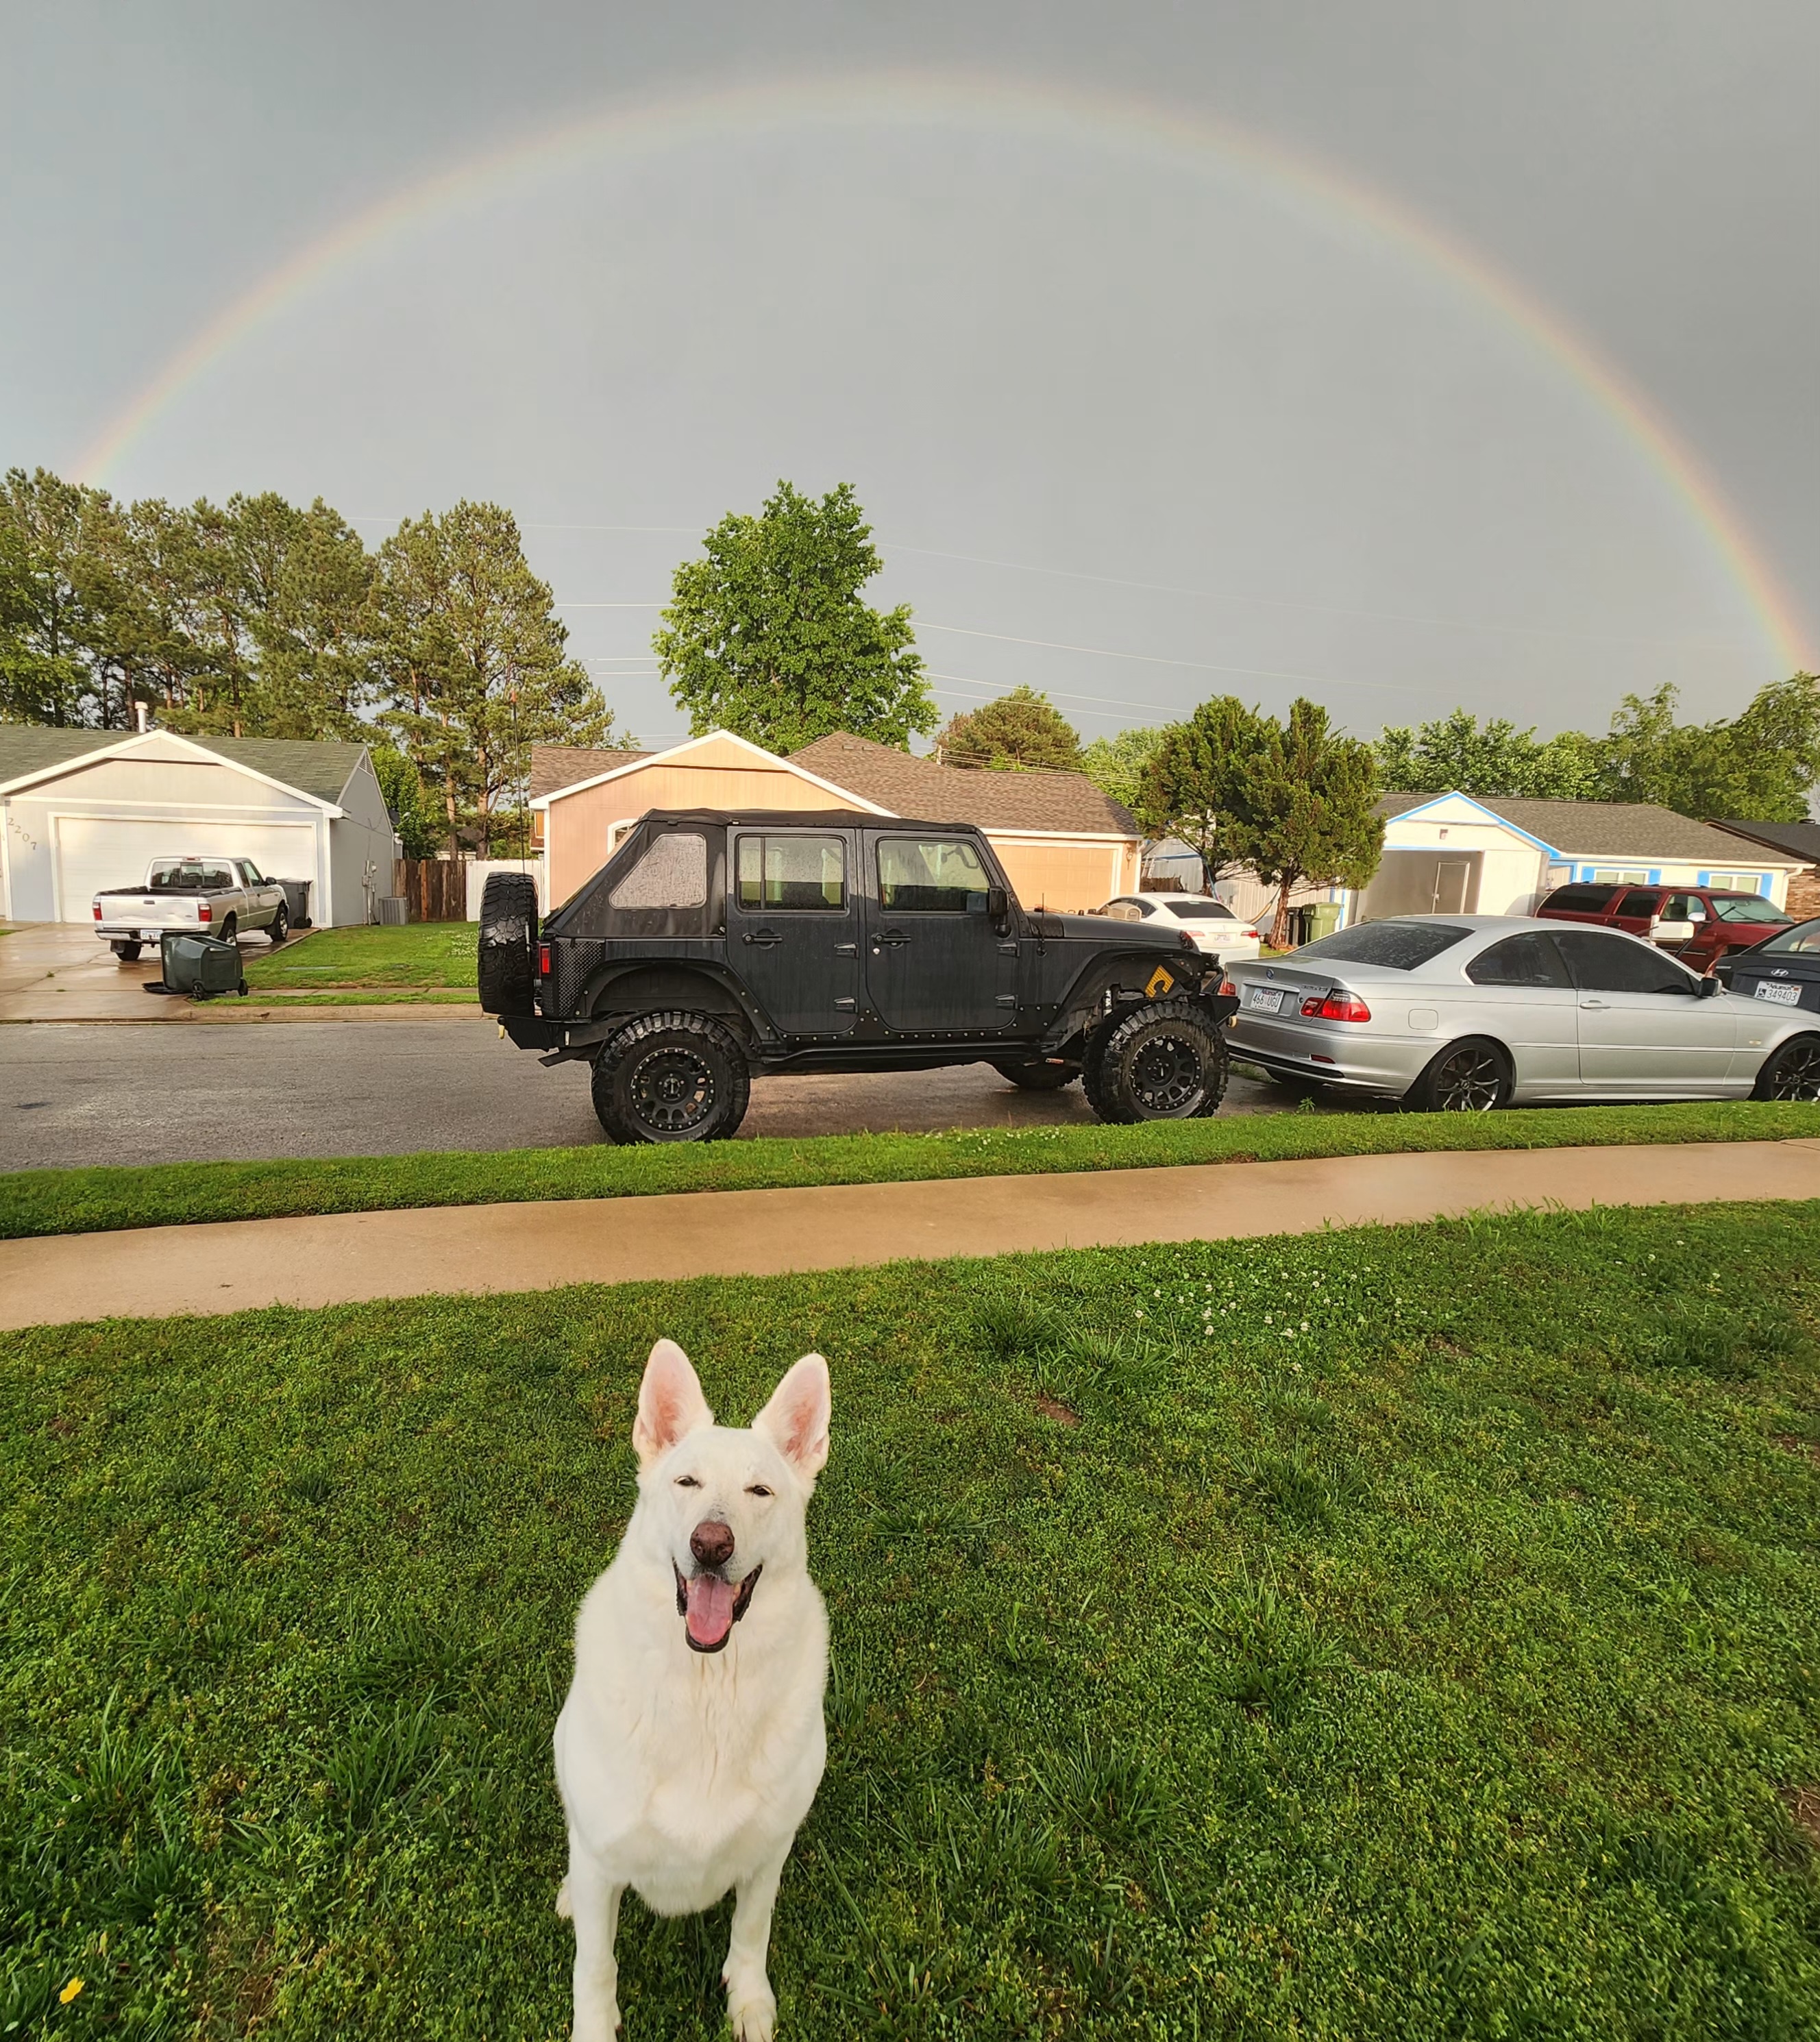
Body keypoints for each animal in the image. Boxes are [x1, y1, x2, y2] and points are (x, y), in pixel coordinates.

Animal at [555, 1339, 833, 2042]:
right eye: (687, 1483)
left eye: (760, 1490)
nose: (711, 1545)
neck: (708, 1688)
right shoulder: (603, 1862)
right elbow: (595, 1965)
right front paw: (594, 2025)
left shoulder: (769, 1854)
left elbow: (752, 1929)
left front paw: (749, 2001)